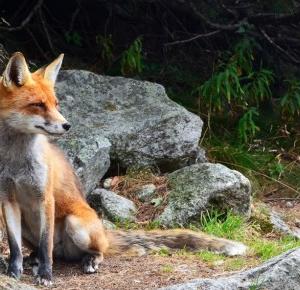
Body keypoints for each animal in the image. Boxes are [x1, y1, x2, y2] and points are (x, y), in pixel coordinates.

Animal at [0, 52, 246, 286]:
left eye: (56, 104)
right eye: (39, 105)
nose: (67, 125)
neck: (17, 162)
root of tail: (103, 232)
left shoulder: (46, 198)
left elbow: (46, 245)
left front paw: (46, 275)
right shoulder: (8, 200)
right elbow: (15, 247)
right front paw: (13, 272)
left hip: (76, 225)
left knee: (88, 251)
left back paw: (89, 260)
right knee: (43, 250)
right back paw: (33, 259)